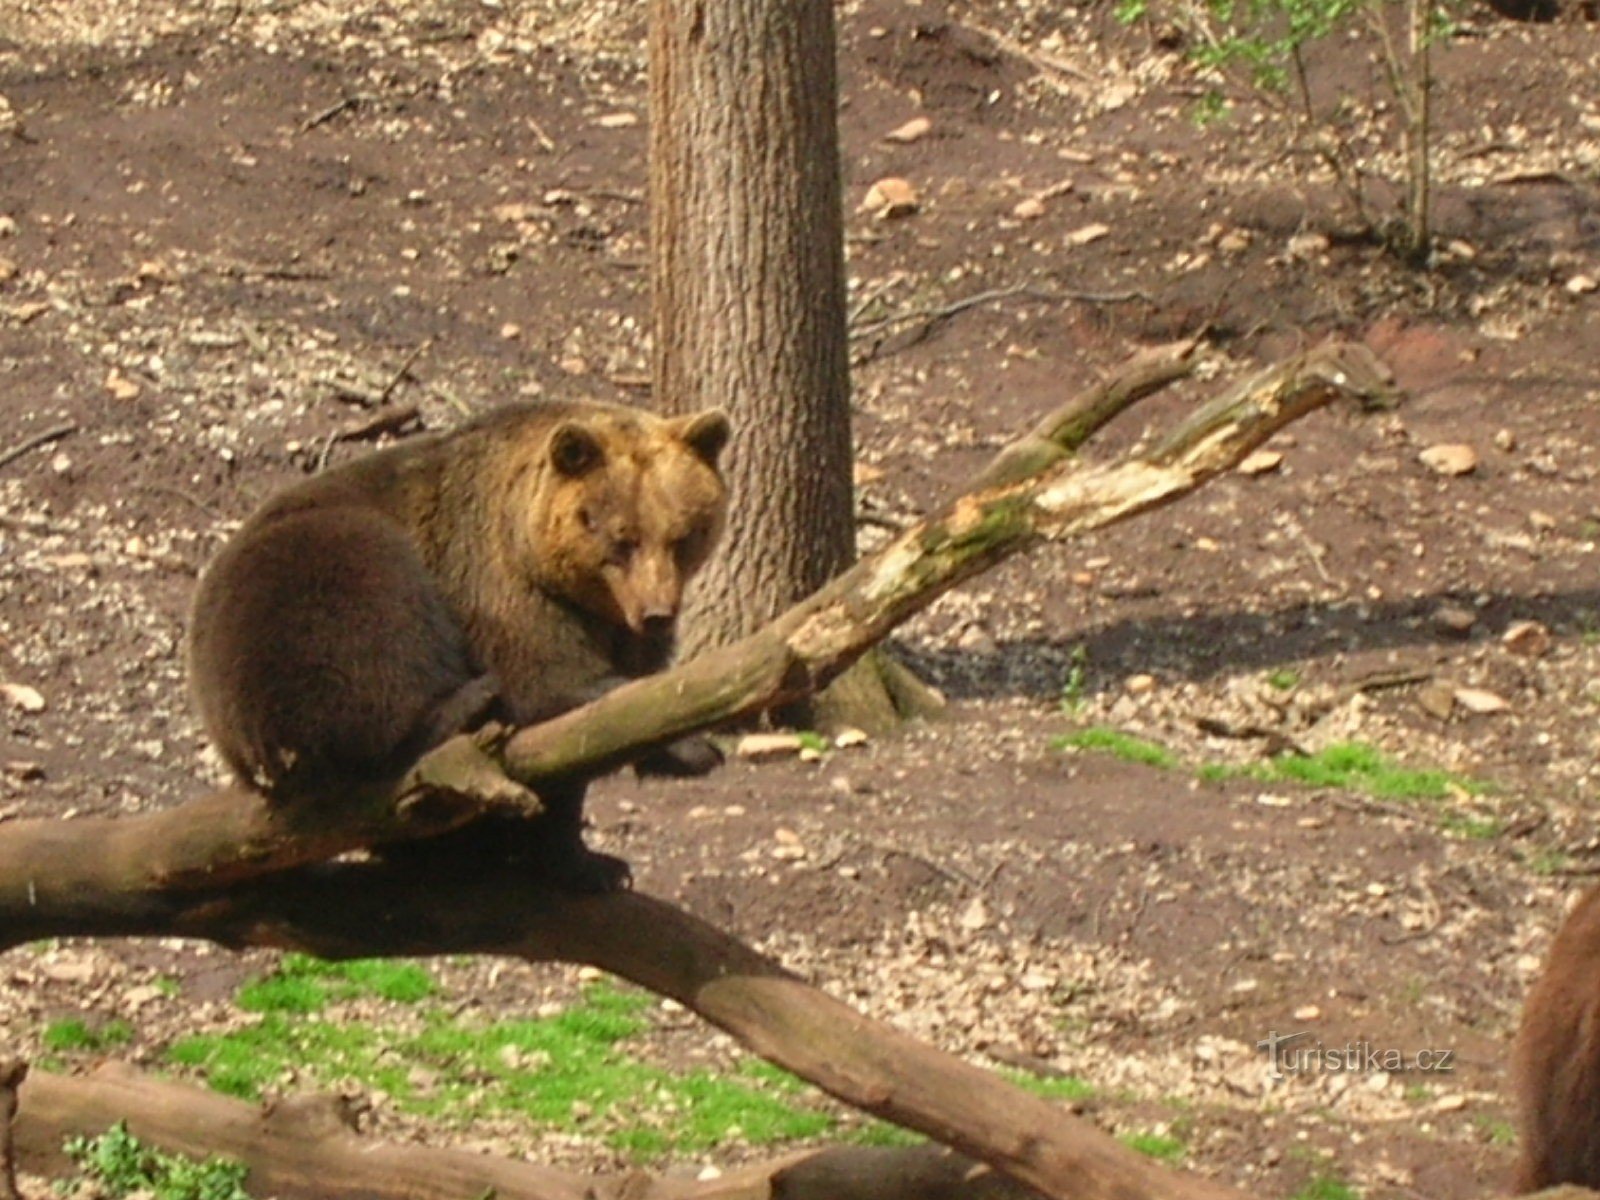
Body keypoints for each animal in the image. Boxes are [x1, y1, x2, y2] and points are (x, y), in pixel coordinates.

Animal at [187, 400, 732, 889]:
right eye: (622, 539)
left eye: (684, 535)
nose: (657, 611)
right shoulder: (499, 584)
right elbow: (550, 683)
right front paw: (692, 744)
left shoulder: (620, 630)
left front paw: (589, 863)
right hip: (293, 584)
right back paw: (461, 706)